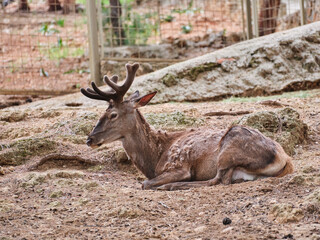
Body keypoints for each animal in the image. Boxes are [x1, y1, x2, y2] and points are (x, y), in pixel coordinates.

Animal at [81, 62, 294, 190]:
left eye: (113, 114)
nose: (90, 139)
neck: (155, 157)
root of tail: (284, 159)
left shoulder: (179, 166)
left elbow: (145, 183)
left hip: (229, 149)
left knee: (218, 181)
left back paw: (171, 186)